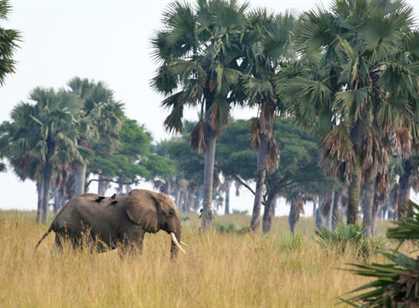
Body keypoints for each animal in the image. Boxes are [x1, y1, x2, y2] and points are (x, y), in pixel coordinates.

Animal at [35, 190, 186, 258]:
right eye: (171, 212)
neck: (151, 193)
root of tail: (55, 219)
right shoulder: (130, 223)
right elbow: (133, 249)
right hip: (69, 229)